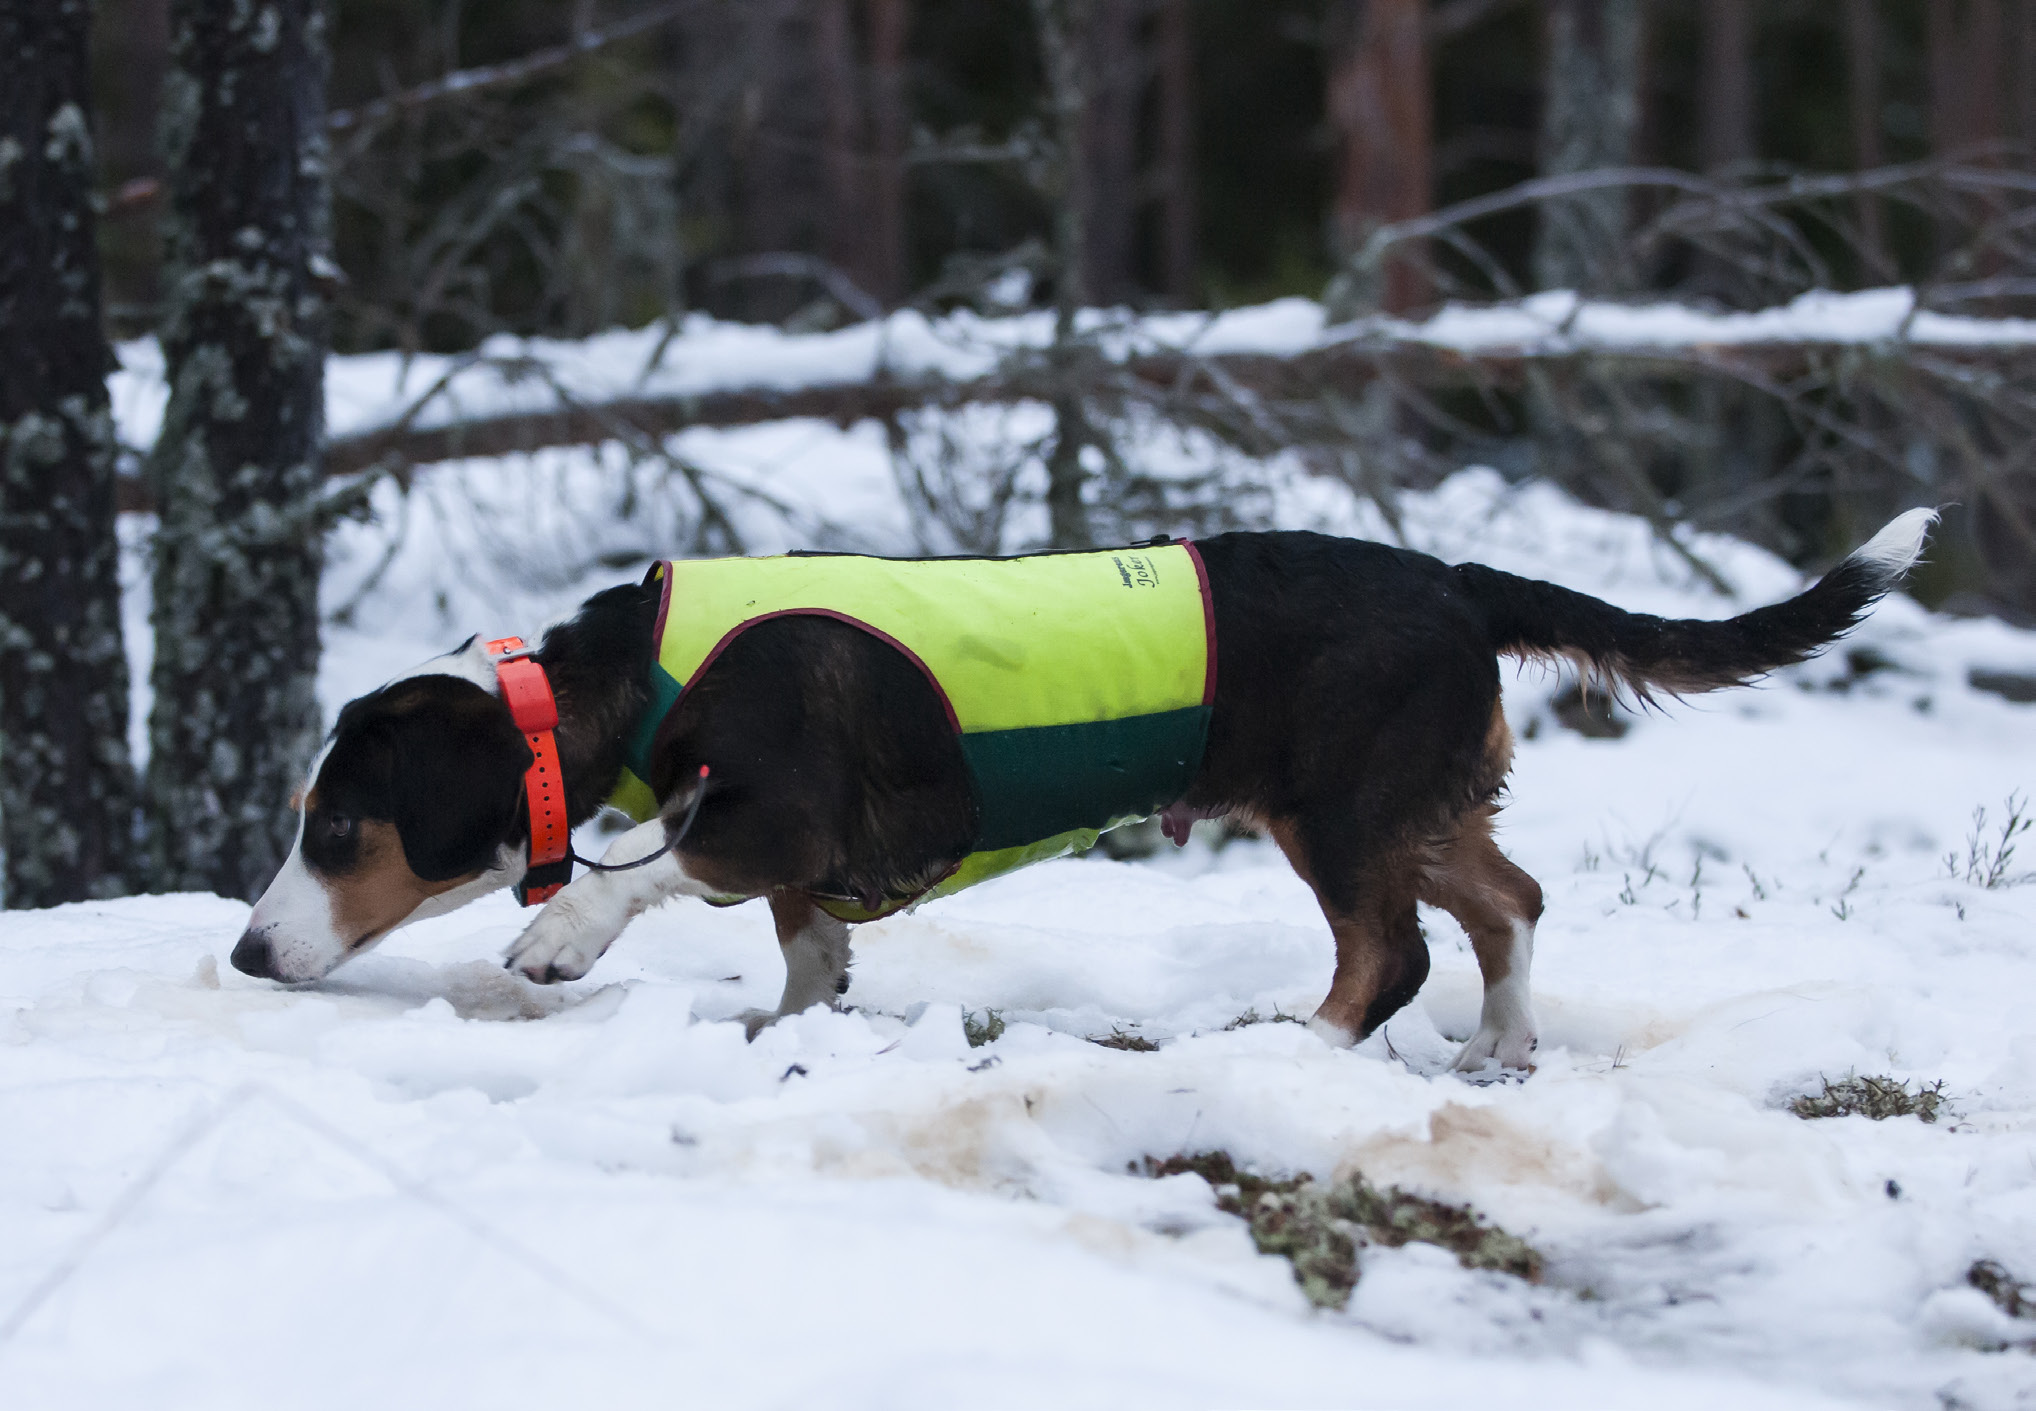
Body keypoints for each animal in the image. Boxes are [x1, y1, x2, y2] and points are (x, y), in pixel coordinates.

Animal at [231, 511, 1930, 1075]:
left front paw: (558, 940)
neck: (628, 674)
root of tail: (1458, 581)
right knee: (1509, 902)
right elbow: (804, 951)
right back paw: (1504, 1048)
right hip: (1415, 803)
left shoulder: (780, 813)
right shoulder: (799, 868)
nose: (244, 954)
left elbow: (650, 862)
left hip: (1341, 812)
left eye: (336, 824)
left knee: (1389, 954)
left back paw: (1291, 1046)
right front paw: (791, 1027)